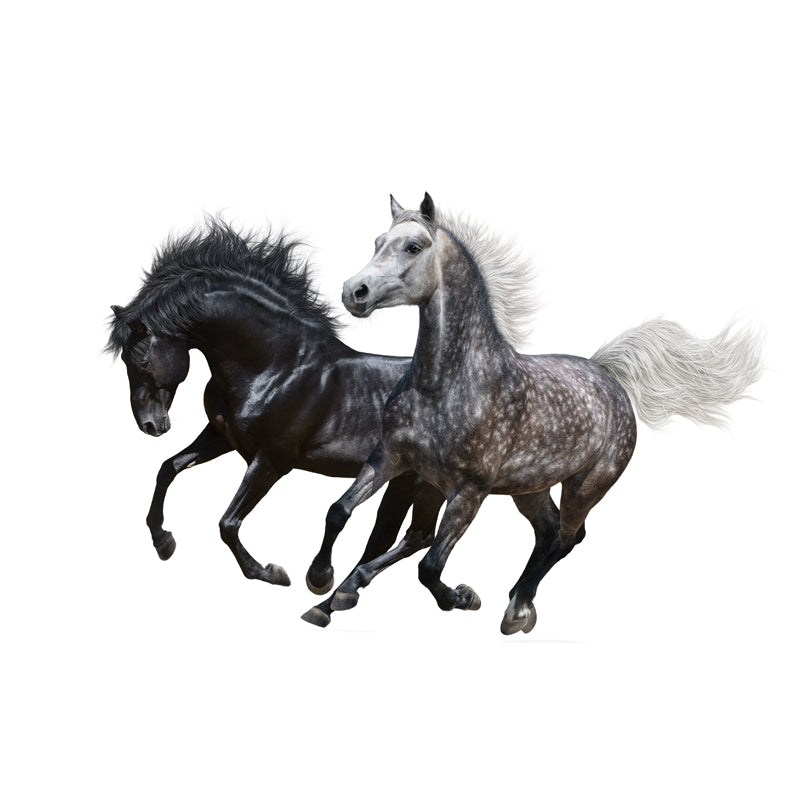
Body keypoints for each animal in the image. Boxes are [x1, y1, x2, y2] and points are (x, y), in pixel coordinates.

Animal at [107, 217, 449, 605]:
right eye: (125, 360)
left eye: (142, 360)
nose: (151, 425)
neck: (277, 367)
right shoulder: (222, 438)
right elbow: (169, 468)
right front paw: (163, 541)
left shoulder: (271, 461)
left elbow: (227, 524)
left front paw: (271, 573)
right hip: (403, 480)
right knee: (396, 536)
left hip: (425, 484)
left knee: (416, 536)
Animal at [303, 194, 762, 635]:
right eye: (378, 242)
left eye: (413, 246)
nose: (354, 292)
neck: (446, 383)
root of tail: (608, 375)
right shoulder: (392, 458)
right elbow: (339, 511)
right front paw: (322, 584)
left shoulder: (469, 491)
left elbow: (429, 567)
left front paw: (465, 597)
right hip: (529, 488)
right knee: (541, 532)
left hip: (585, 486)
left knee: (566, 537)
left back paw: (517, 609)